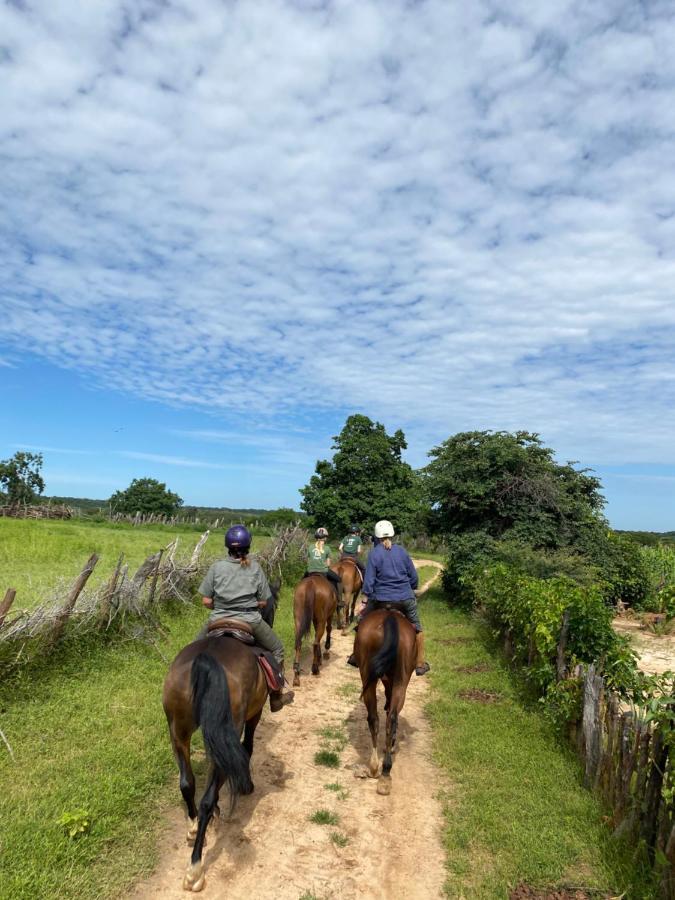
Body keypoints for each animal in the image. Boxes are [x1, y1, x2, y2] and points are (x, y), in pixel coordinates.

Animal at [163, 632, 270, 892]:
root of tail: (206, 659)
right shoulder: (255, 713)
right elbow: (247, 747)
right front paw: (247, 786)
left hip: (177, 732)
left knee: (187, 783)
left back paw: (193, 827)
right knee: (207, 800)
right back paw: (195, 869)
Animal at [354, 604, 418, 796]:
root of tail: (389, 617)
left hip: (369, 675)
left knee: (376, 718)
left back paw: (377, 769)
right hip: (399, 680)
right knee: (390, 718)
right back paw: (383, 771)